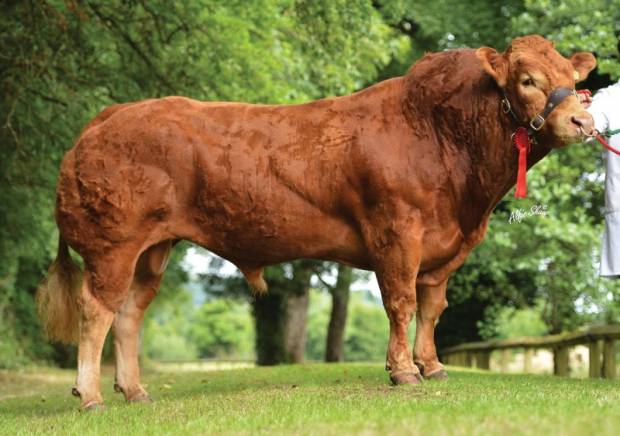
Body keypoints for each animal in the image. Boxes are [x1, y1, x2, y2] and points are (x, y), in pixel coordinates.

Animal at [38, 35, 596, 408]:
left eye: (575, 82)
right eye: (527, 80)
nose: (583, 122)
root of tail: (109, 115)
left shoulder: (446, 246)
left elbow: (433, 307)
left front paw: (433, 365)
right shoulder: (397, 232)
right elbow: (402, 302)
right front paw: (403, 372)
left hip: (153, 248)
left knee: (129, 313)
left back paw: (134, 391)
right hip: (113, 244)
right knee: (96, 310)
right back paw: (90, 395)